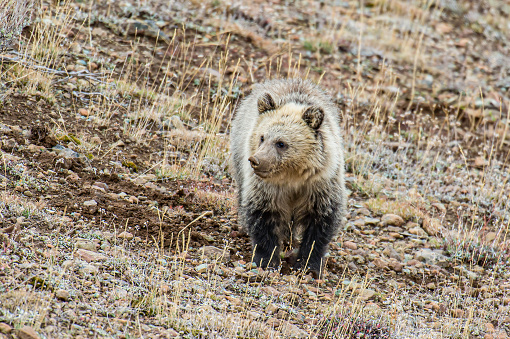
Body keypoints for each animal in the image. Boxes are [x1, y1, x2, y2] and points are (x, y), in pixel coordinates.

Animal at [230, 77, 346, 276]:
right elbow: (262, 215)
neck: (292, 178)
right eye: (262, 137)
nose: (256, 160)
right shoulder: (266, 187)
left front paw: (309, 264)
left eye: (281, 143)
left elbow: (321, 223)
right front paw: (267, 260)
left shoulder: (320, 185)